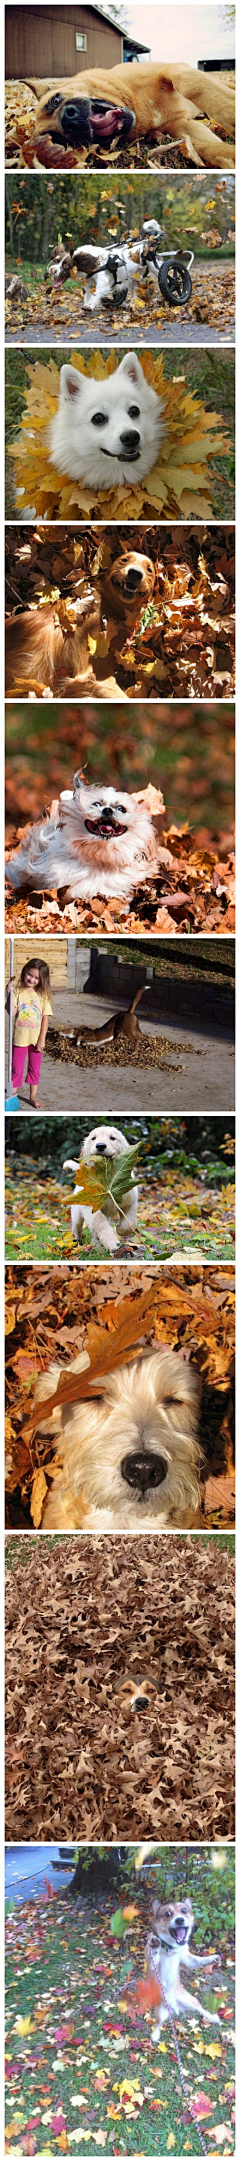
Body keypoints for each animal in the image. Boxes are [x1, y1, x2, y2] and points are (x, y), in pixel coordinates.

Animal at [29, 62, 235, 170]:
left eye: (55, 100)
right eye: (55, 138)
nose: (68, 121)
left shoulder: (171, 69)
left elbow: (190, 84)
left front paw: (230, 112)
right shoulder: (181, 128)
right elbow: (210, 148)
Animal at [63, 1123, 138, 1262]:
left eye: (112, 1138)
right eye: (93, 1138)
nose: (100, 1145)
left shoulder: (129, 1202)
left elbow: (130, 1223)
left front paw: (120, 1230)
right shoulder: (91, 1207)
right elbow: (100, 1222)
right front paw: (111, 1241)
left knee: (94, 1232)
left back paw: (97, 1246)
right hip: (76, 1213)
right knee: (77, 1228)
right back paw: (77, 1242)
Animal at [144, 1901, 220, 2031]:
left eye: (184, 1910)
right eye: (168, 1913)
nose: (180, 1920)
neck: (171, 1949)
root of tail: (173, 2006)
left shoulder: (186, 1960)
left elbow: (198, 1960)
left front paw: (212, 1958)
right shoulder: (153, 1964)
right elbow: (154, 1955)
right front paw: (155, 1946)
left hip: (191, 2000)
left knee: (200, 2009)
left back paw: (213, 2018)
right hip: (159, 2013)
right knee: (158, 2026)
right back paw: (154, 2035)